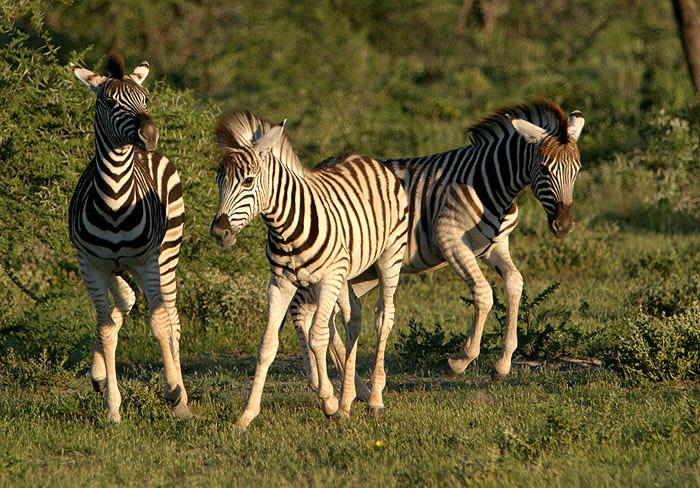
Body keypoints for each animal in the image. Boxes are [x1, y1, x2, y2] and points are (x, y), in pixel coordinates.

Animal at [69, 51, 189, 422]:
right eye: (109, 102)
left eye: (145, 98)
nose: (149, 134)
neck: (116, 201)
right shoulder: (92, 265)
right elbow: (106, 328)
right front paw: (112, 407)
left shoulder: (147, 261)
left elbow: (160, 323)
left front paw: (173, 391)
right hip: (116, 267)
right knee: (124, 301)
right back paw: (98, 375)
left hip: (167, 254)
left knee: (171, 317)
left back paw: (182, 396)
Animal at [211, 109, 408, 428]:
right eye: (219, 180)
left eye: (249, 181)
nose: (220, 233)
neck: (284, 227)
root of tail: (364, 156)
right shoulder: (280, 282)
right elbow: (268, 345)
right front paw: (247, 415)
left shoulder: (327, 278)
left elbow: (318, 336)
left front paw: (329, 401)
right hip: (343, 274)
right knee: (353, 317)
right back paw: (348, 399)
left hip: (390, 255)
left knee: (383, 317)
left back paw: (374, 399)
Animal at [290, 99, 584, 392]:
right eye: (544, 168)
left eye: (577, 169)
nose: (564, 225)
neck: (488, 183)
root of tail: (320, 167)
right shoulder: (449, 239)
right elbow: (484, 293)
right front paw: (460, 361)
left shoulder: (495, 246)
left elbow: (515, 282)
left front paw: (502, 365)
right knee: (303, 309)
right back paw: (331, 385)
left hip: (363, 272)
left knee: (323, 311)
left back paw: (356, 388)